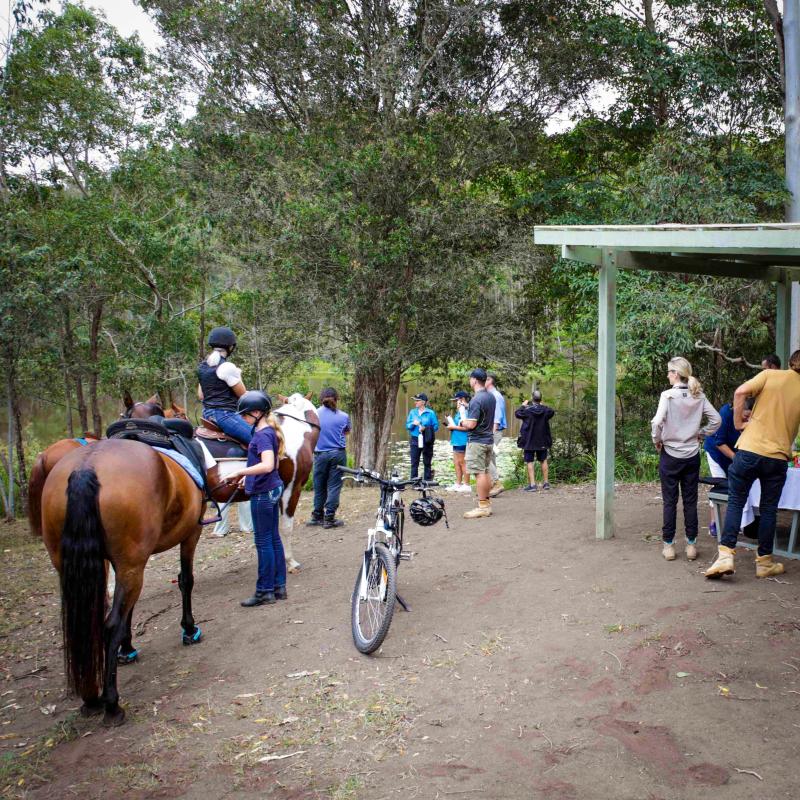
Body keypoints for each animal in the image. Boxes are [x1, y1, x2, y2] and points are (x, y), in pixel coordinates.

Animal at [41, 440, 205, 728]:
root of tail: (86, 467)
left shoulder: (126, 565)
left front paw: (127, 648)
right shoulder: (190, 534)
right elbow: (186, 580)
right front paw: (189, 628)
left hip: (71, 564)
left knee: (88, 624)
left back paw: (90, 698)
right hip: (133, 563)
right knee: (110, 626)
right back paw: (111, 704)